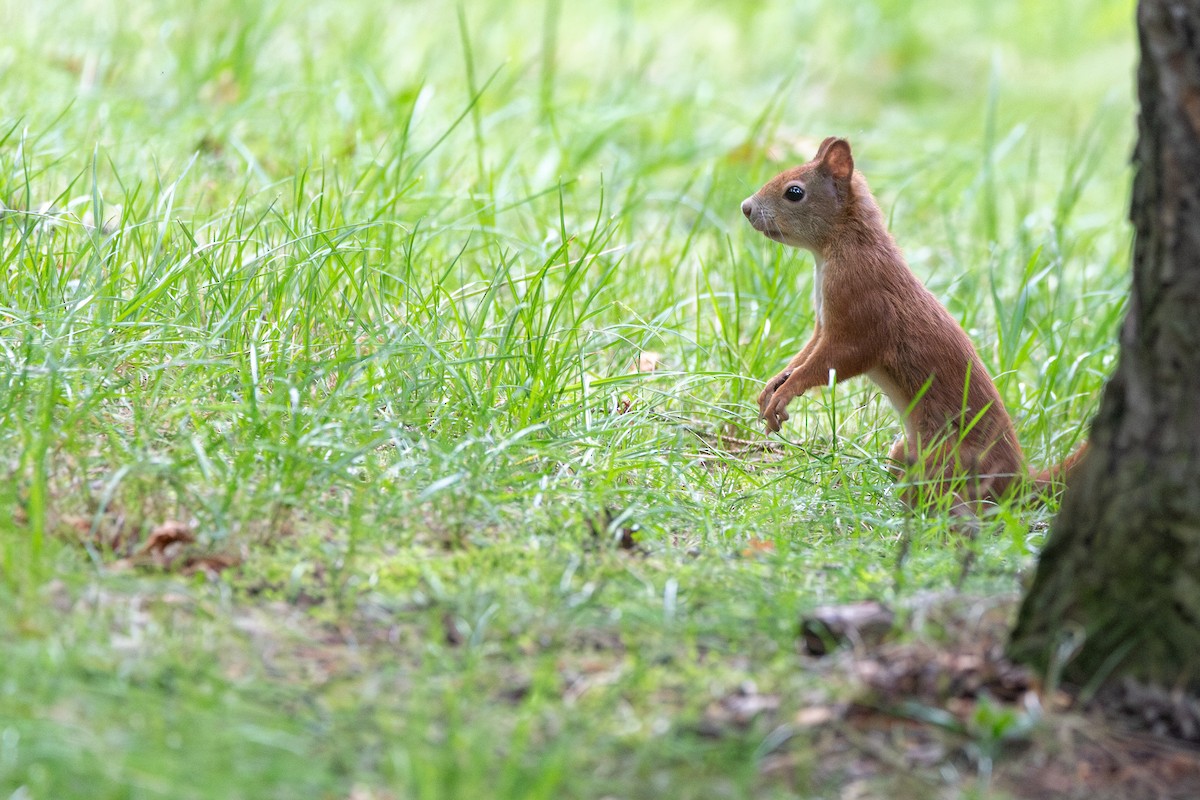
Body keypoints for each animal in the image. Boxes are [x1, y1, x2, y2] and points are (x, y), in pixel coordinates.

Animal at [741, 136, 1085, 514]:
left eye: (795, 192)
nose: (746, 207)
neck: (842, 246)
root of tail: (1019, 482)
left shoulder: (862, 312)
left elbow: (836, 360)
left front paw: (787, 391)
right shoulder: (823, 324)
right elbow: (806, 354)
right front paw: (773, 386)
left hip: (946, 460)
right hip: (904, 450)